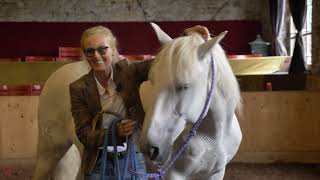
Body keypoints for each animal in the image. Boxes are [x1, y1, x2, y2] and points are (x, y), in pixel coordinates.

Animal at [139, 23, 241, 180]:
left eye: (183, 86)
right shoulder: (174, 174)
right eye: (152, 81)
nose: (149, 149)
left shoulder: (217, 172)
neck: (212, 138)